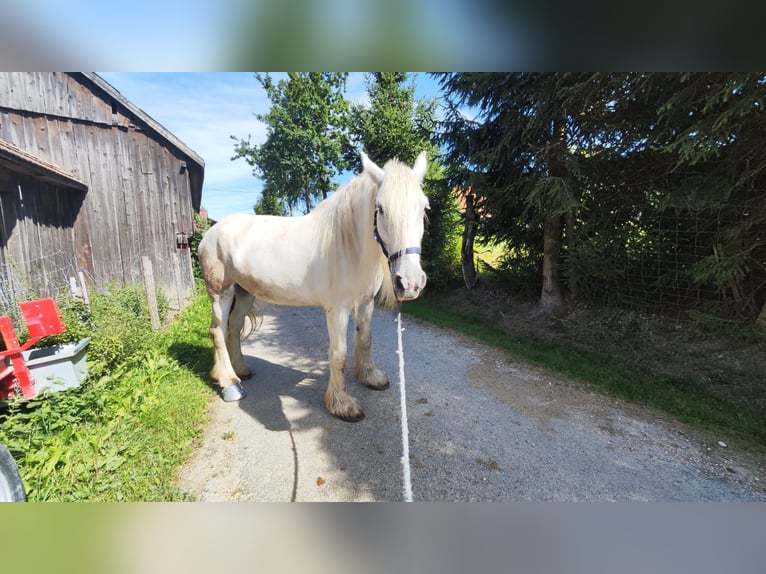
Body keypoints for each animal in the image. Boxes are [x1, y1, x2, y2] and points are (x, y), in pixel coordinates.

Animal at [197, 151, 429, 421]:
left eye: (424, 207)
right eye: (380, 209)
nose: (409, 283)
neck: (348, 245)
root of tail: (210, 233)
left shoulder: (365, 302)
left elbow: (365, 338)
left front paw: (371, 377)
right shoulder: (338, 309)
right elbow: (339, 354)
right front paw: (342, 405)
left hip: (245, 293)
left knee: (234, 327)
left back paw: (241, 370)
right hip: (221, 293)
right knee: (218, 330)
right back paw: (230, 383)